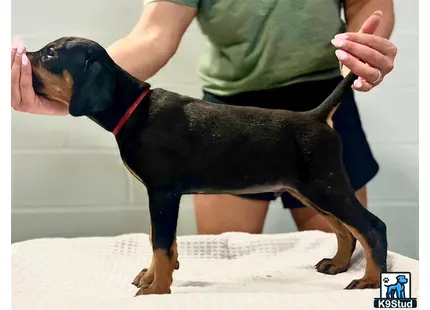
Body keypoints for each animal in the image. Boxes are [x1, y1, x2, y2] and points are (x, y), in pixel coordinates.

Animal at [25, 36, 388, 296]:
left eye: (50, 54)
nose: (22, 55)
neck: (134, 109)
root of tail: (316, 116)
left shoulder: (163, 192)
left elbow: (160, 242)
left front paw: (157, 289)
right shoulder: (164, 196)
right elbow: (162, 240)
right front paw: (153, 277)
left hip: (325, 186)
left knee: (371, 227)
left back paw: (369, 280)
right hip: (309, 189)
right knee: (345, 230)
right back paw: (338, 265)